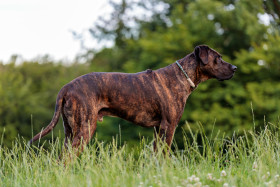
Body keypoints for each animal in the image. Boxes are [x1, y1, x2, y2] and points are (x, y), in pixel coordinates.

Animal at [30, 45, 236, 153]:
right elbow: (165, 154)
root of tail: (66, 87)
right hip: (85, 128)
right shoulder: (169, 126)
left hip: (70, 131)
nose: (234, 68)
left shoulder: (158, 129)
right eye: (218, 58)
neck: (181, 76)